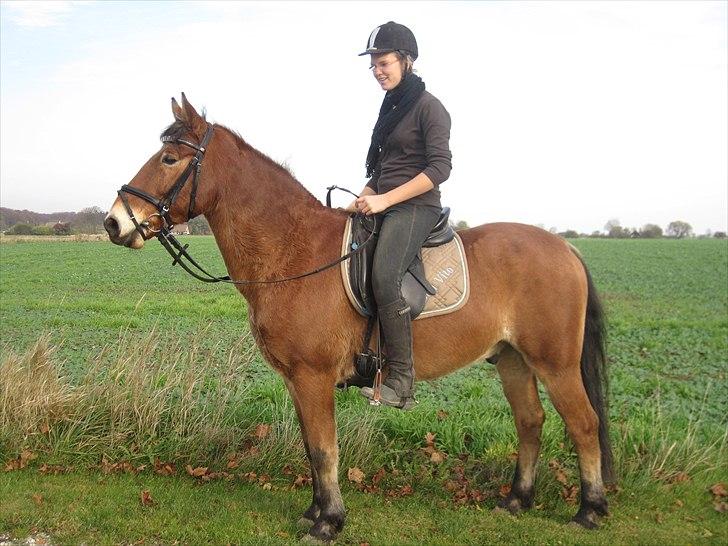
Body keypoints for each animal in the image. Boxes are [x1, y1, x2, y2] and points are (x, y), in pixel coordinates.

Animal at [105, 94, 613, 543]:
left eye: (170, 158)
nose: (114, 222)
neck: (292, 250)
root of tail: (566, 248)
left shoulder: (313, 375)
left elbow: (324, 448)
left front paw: (329, 521)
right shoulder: (296, 379)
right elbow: (310, 446)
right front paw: (315, 511)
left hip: (556, 364)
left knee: (584, 424)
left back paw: (589, 509)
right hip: (512, 360)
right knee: (530, 422)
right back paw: (516, 501)